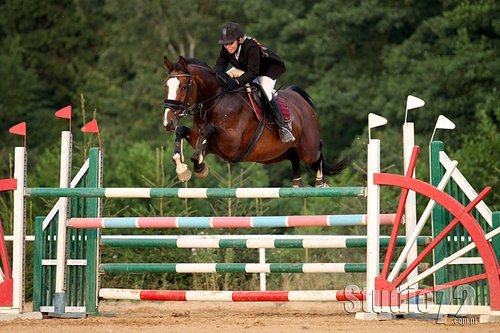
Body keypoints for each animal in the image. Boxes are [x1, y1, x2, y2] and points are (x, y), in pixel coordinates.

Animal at [162, 55, 346, 188]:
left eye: (183, 87)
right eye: (166, 86)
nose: (168, 122)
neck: (215, 100)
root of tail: (300, 100)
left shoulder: (231, 144)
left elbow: (208, 130)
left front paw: (200, 168)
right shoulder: (204, 141)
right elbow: (183, 131)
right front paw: (182, 169)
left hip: (308, 148)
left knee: (318, 150)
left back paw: (320, 183)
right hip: (276, 154)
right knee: (294, 156)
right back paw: (297, 184)